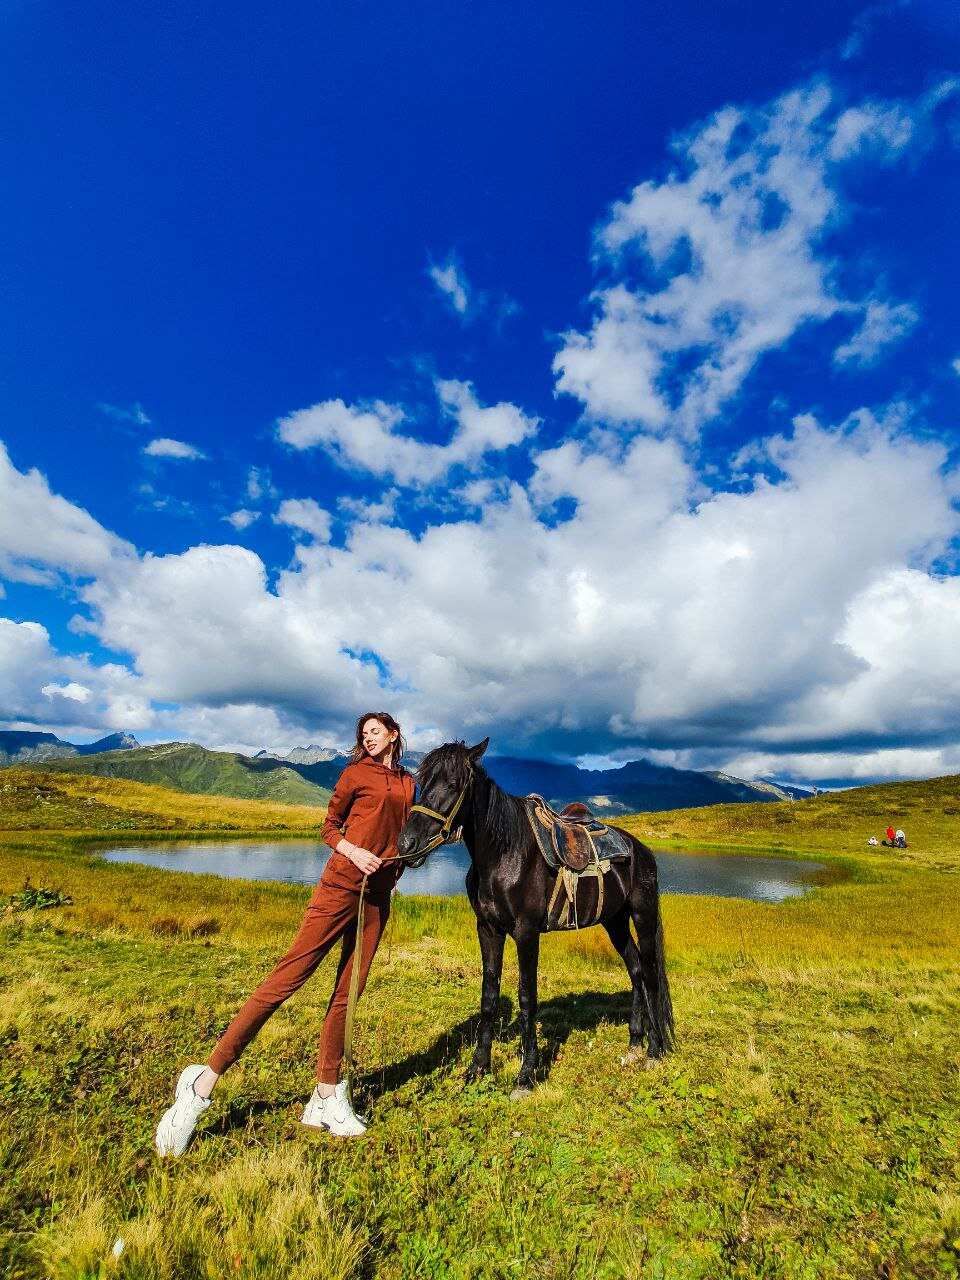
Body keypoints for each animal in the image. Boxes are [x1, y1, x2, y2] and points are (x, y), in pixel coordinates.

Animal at [397, 737, 674, 1095]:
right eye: (422, 781)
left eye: (455, 784)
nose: (406, 843)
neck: (504, 854)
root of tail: (641, 850)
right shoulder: (488, 929)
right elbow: (488, 996)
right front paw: (478, 1068)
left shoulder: (526, 932)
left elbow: (527, 997)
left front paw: (526, 1075)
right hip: (614, 921)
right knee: (636, 969)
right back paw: (634, 1044)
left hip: (643, 915)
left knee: (651, 975)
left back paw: (654, 1050)